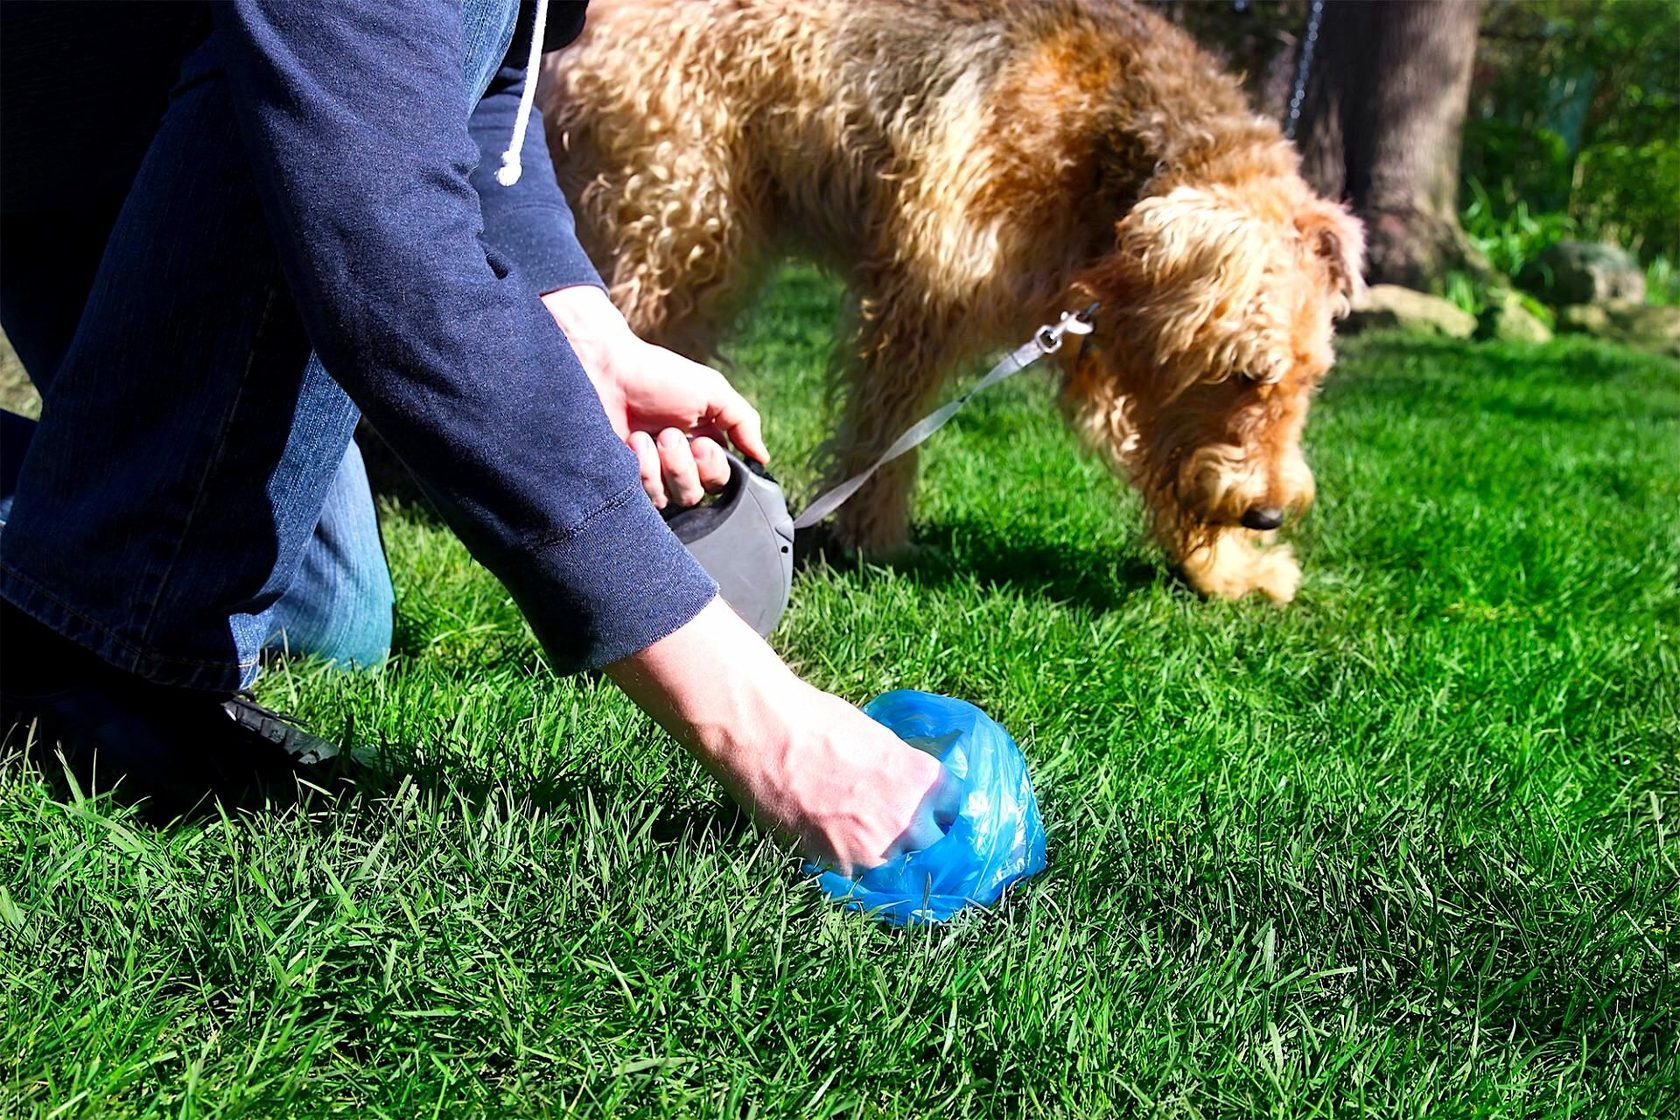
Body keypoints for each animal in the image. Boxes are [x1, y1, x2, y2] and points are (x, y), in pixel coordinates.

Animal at [544, 0, 1357, 604]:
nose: (1267, 513)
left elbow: (1159, 457)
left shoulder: (1102, 347)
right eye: (1245, 372)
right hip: (682, 225)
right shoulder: (924, 293)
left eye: (1311, 378)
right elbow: (886, 430)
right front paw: (872, 538)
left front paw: (1228, 569)